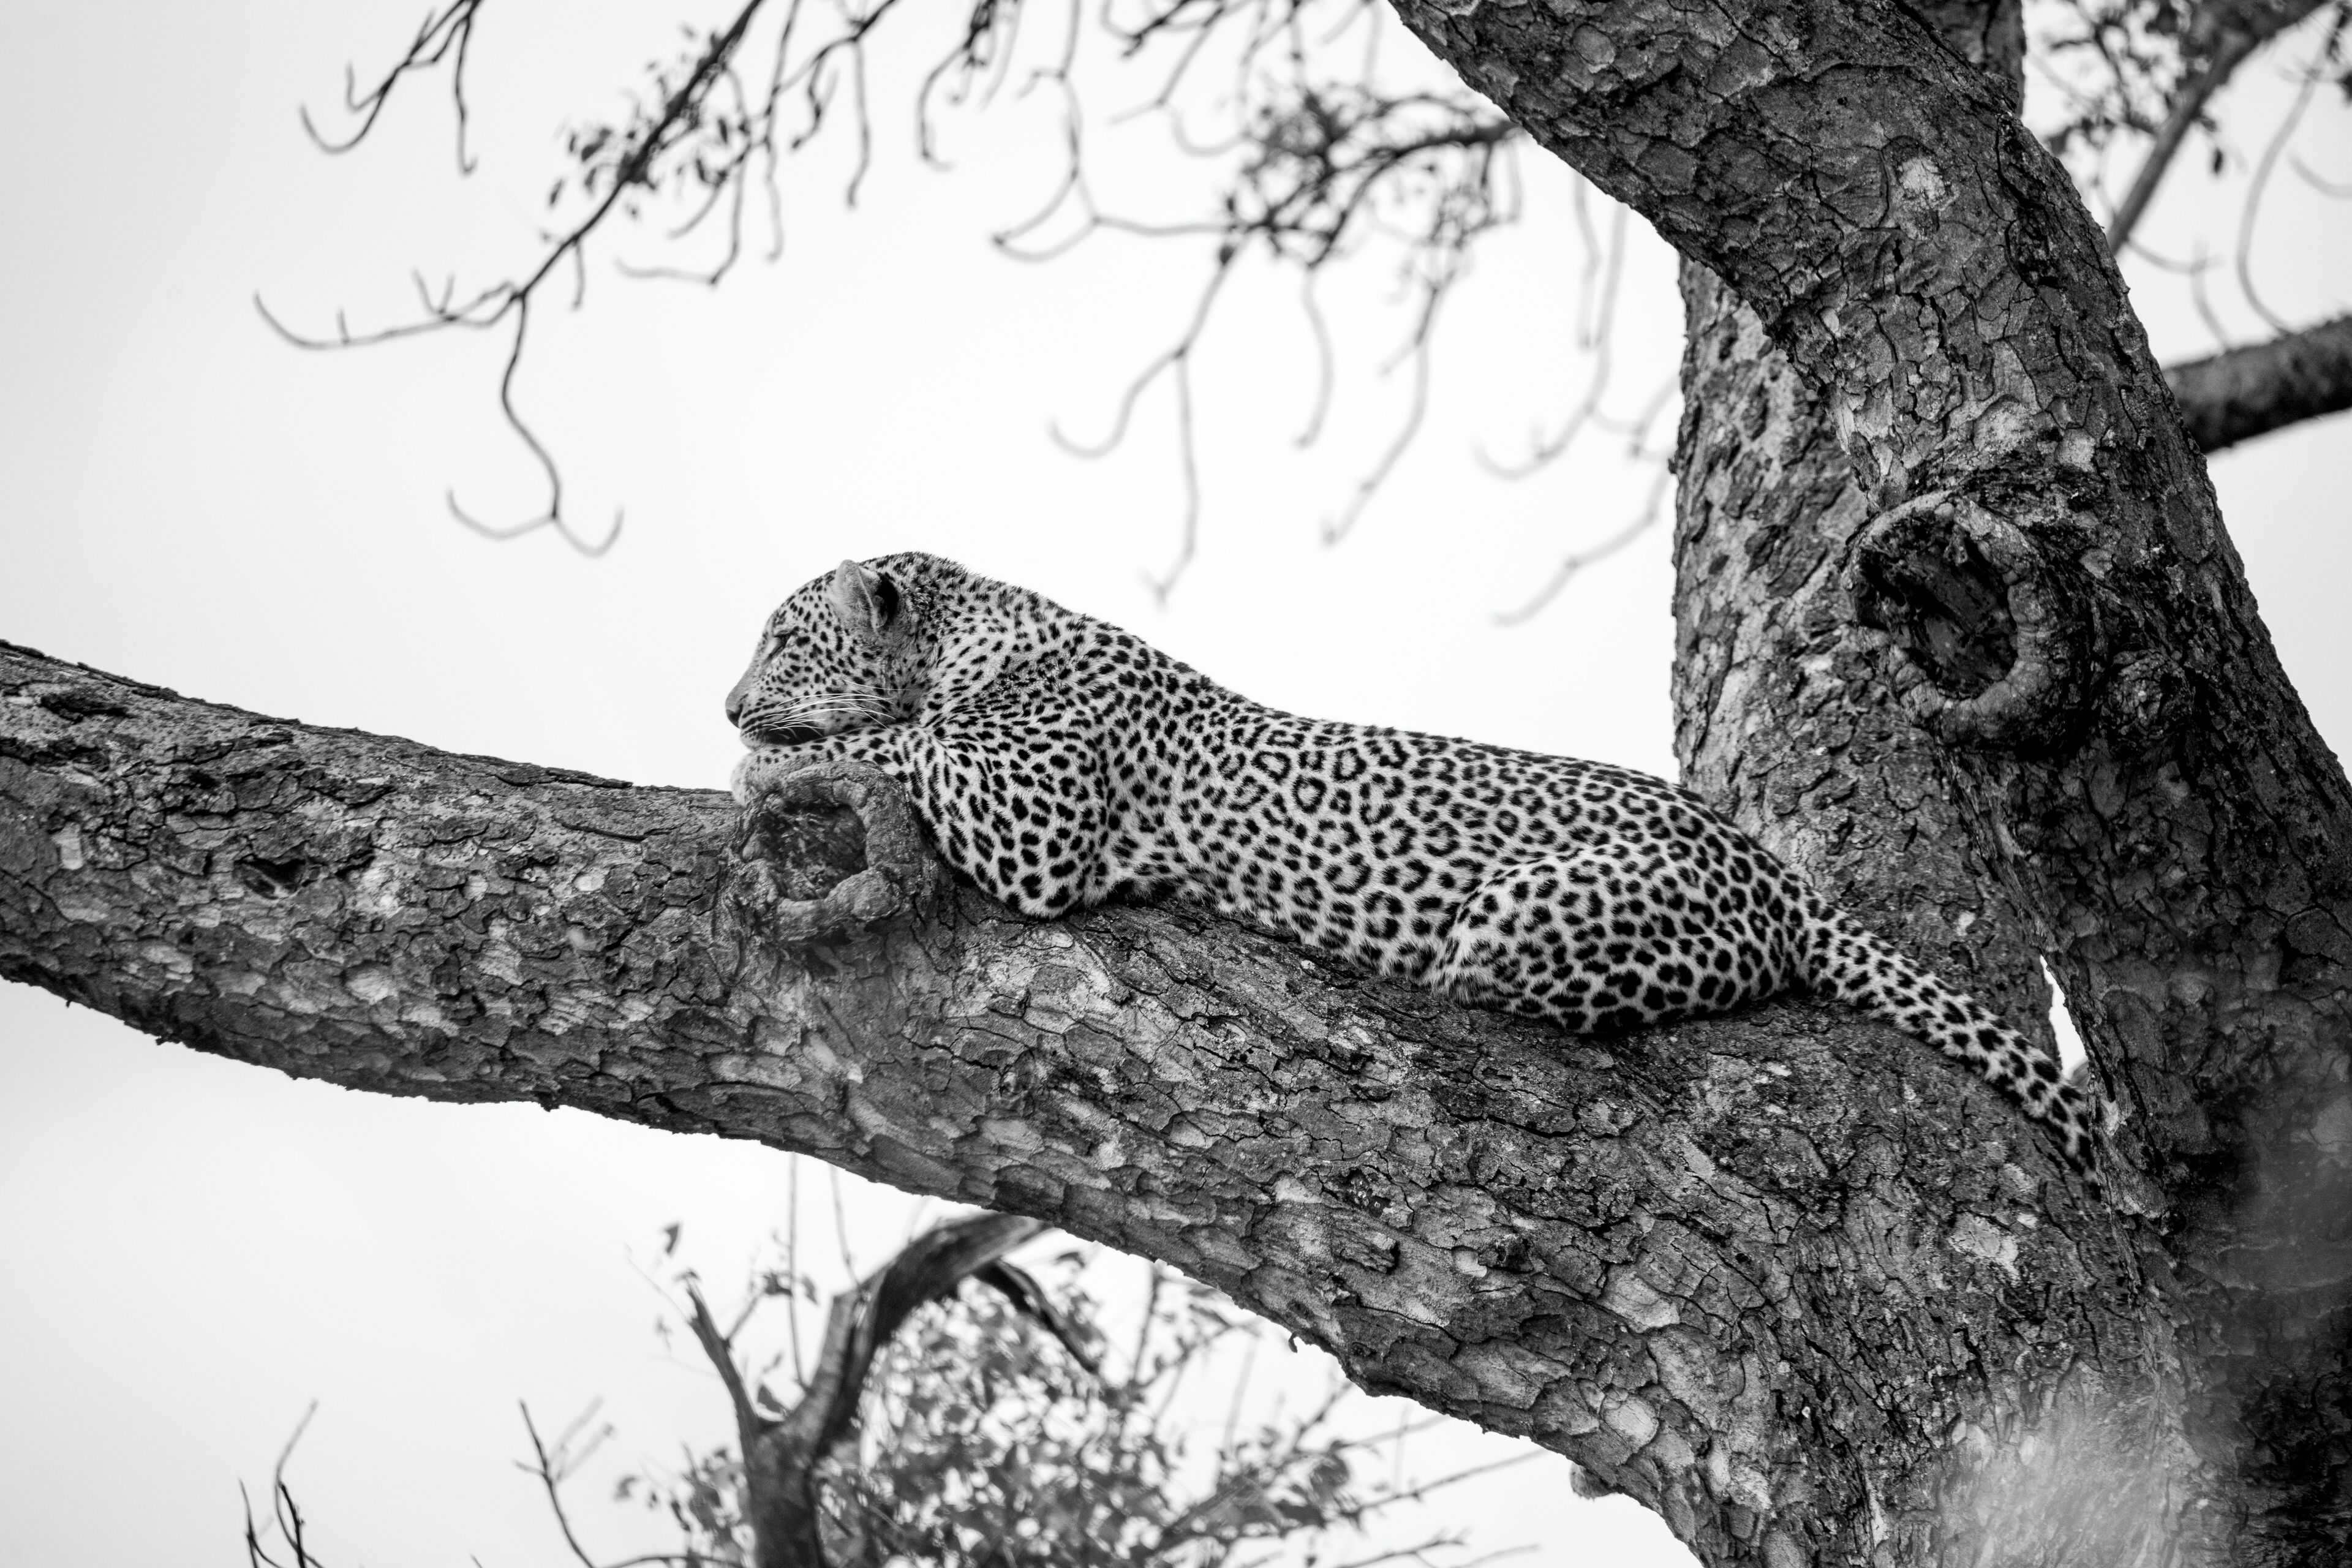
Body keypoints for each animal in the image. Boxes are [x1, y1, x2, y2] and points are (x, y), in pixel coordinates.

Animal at [727, 552, 2101, 1180]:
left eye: (784, 642)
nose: (731, 700)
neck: (977, 628)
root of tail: (1777, 872)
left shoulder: (1038, 816)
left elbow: (896, 738)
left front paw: (769, 756)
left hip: (1532, 915)